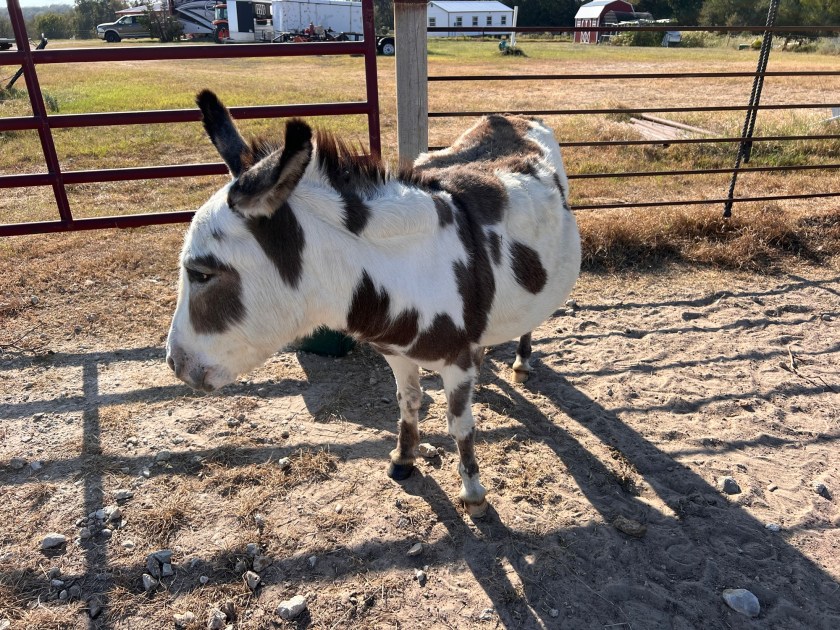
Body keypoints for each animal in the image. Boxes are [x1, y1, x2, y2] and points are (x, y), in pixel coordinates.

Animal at [166, 90, 581, 517]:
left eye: (200, 273)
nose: (174, 364)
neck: (407, 269)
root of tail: (510, 117)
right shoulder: (397, 353)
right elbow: (408, 403)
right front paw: (403, 459)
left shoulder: (456, 364)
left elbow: (460, 426)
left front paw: (473, 493)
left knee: (529, 323)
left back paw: (522, 362)